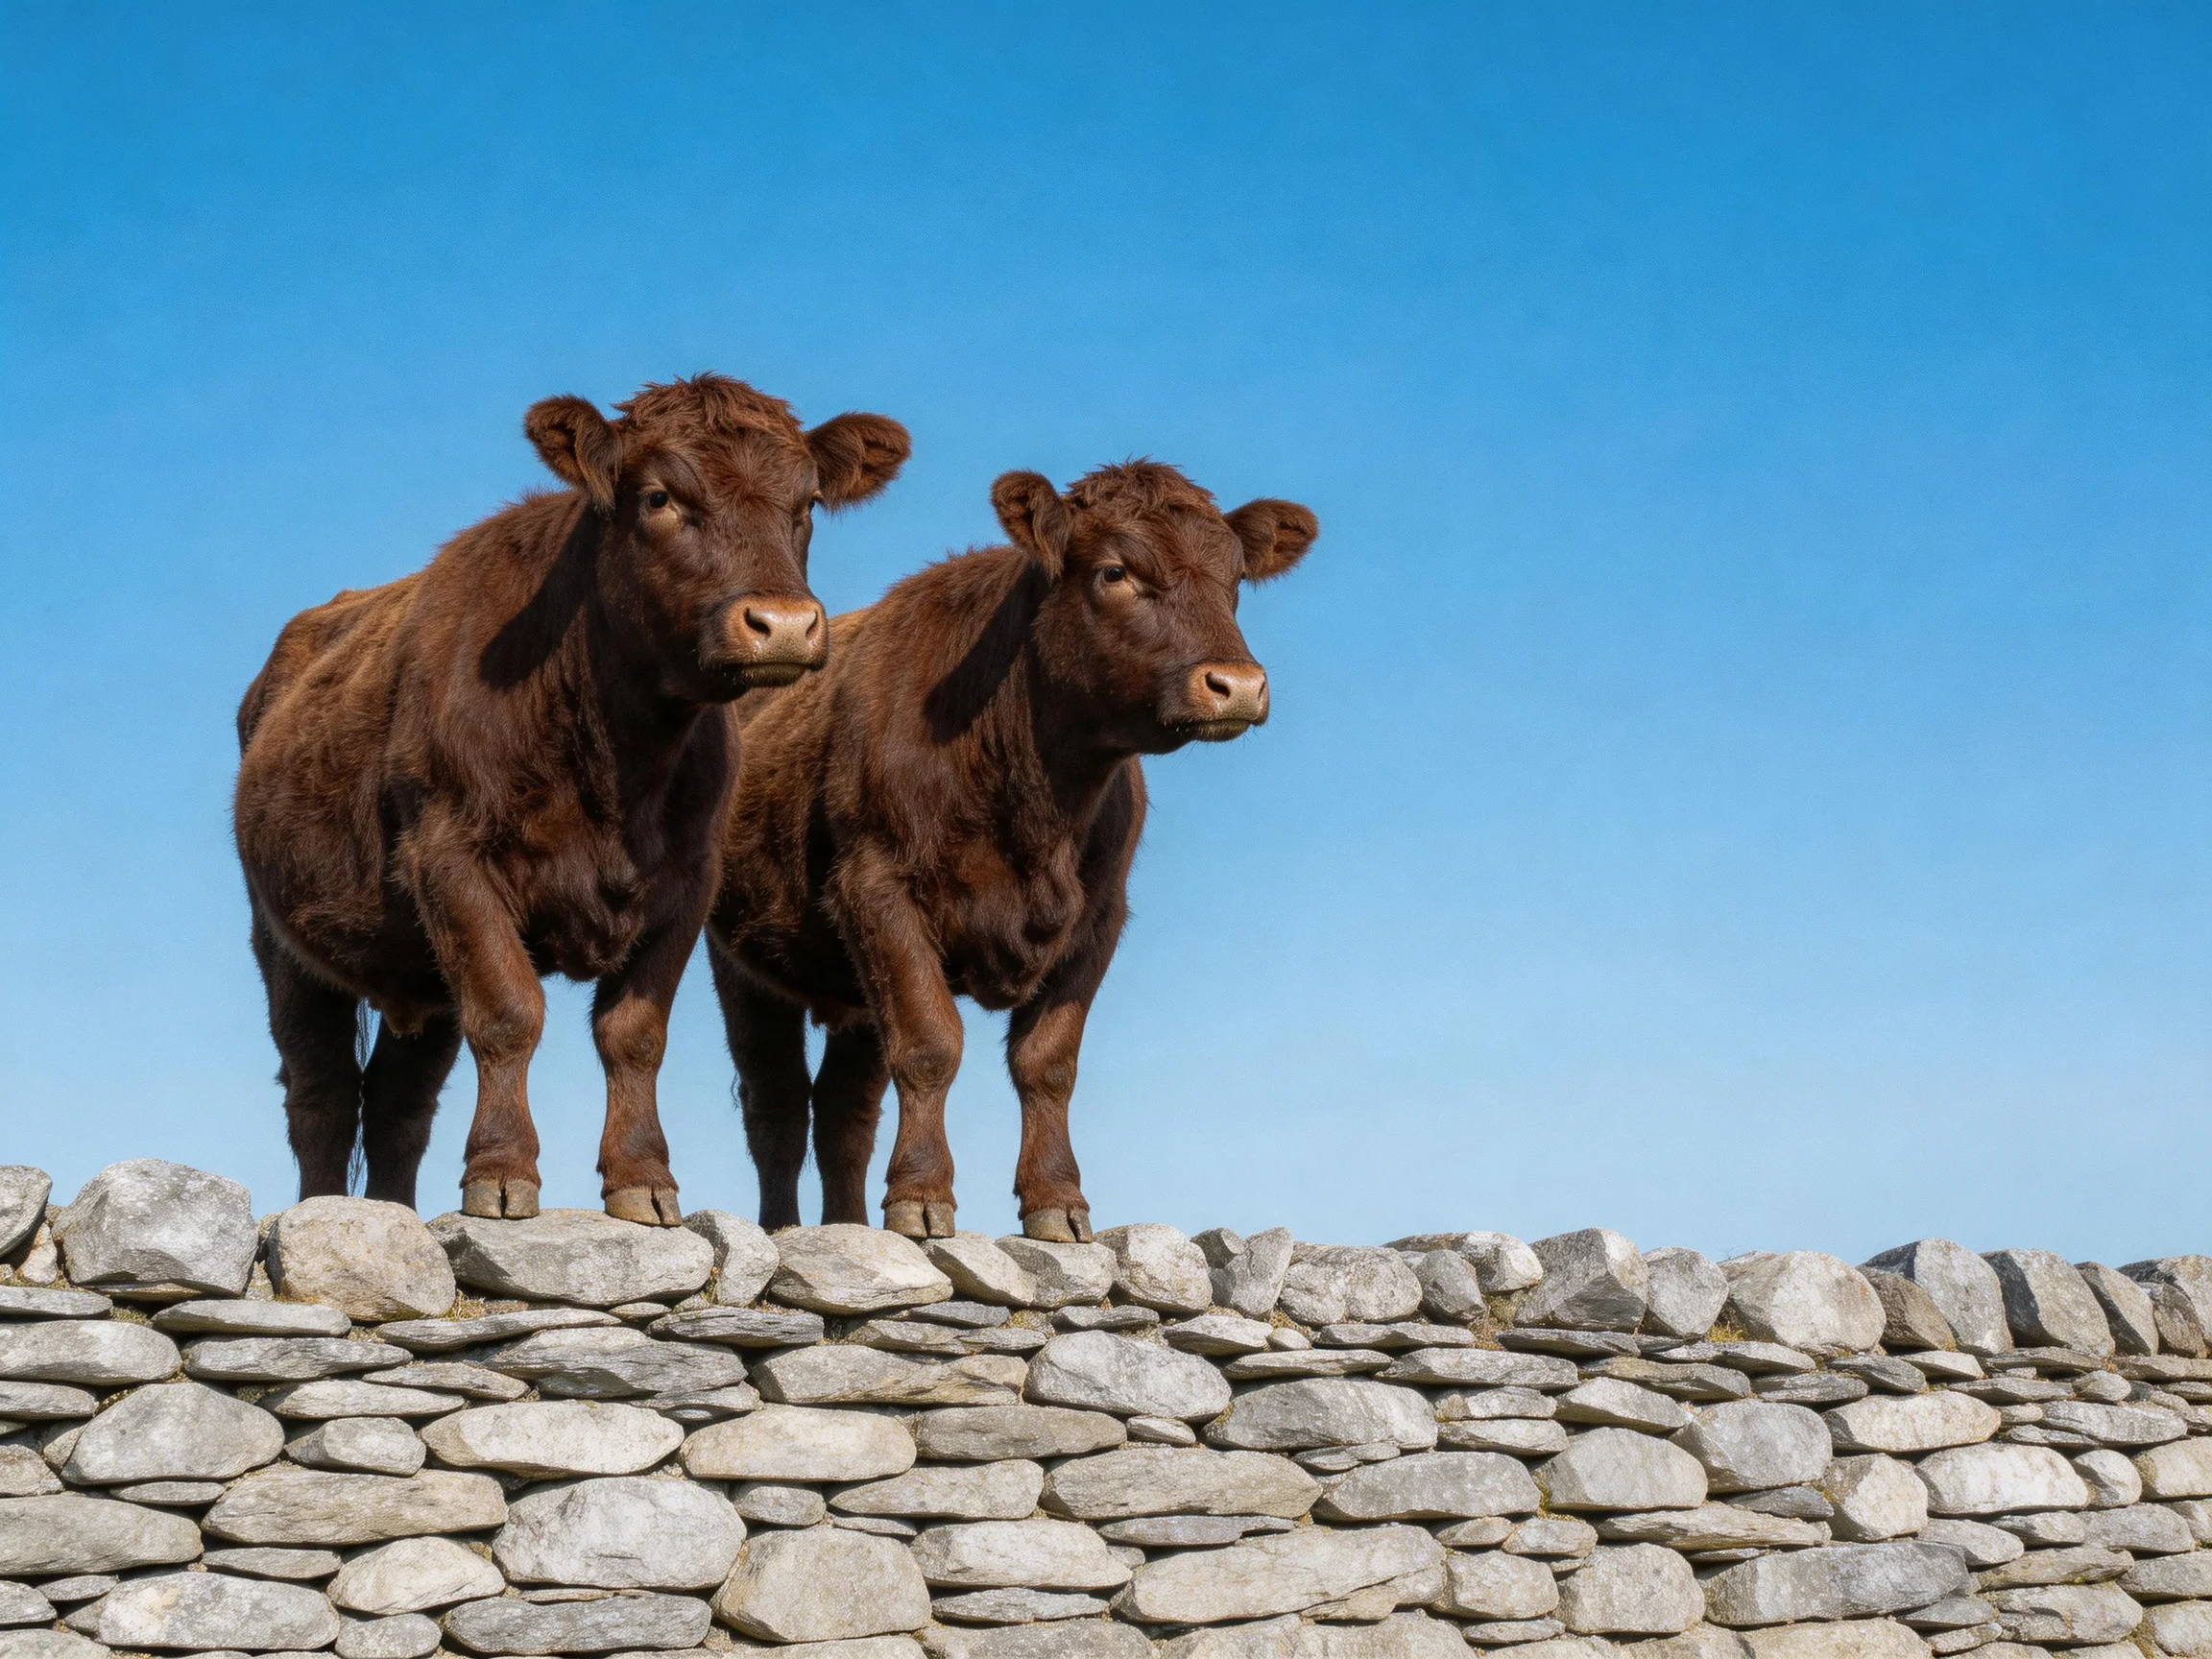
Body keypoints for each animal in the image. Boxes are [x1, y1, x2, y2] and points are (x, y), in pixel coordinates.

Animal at [234, 374, 908, 1224]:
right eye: (658, 497)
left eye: (809, 501)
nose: (783, 625)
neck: (619, 761)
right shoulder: (451, 859)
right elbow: (509, 1013)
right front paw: (501, 1172)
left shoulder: (686, 884)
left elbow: (634, 1034)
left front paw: (642, 1178)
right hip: (284, 942)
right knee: (320, 1088)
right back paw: (331, 1208)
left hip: (418, 972)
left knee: (397, 1102)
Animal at [707, 460, 1317, 1240]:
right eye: (1115, 571)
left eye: (1235, 578)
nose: (1236, 685)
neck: (1038, 802)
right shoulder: (878, 890)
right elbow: (931, 1044)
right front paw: (922, 1195)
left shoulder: (1097, 920)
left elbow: (1047, 1064)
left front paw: (1057, 1199)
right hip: (743, 964)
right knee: (776, 1101)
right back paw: (783, 1228)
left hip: (853, 987)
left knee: (844, 1112)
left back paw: (847, 1225)